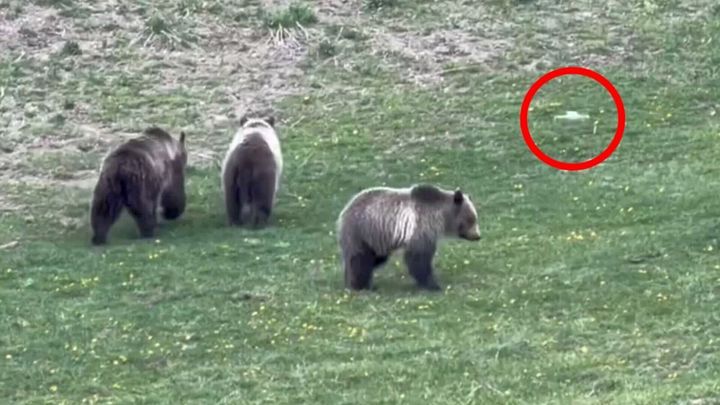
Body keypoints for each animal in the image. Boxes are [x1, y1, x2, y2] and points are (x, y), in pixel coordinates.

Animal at [337, 184, 481, 291]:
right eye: (471, 219)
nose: (477, 236)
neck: (441, 216)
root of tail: (345, 209)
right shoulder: (422, 227)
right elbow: (418, 258)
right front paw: (433, 285)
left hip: (375, 239)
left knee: (374, 258)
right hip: (362, 231)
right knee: (360, 259)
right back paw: (359, 285)